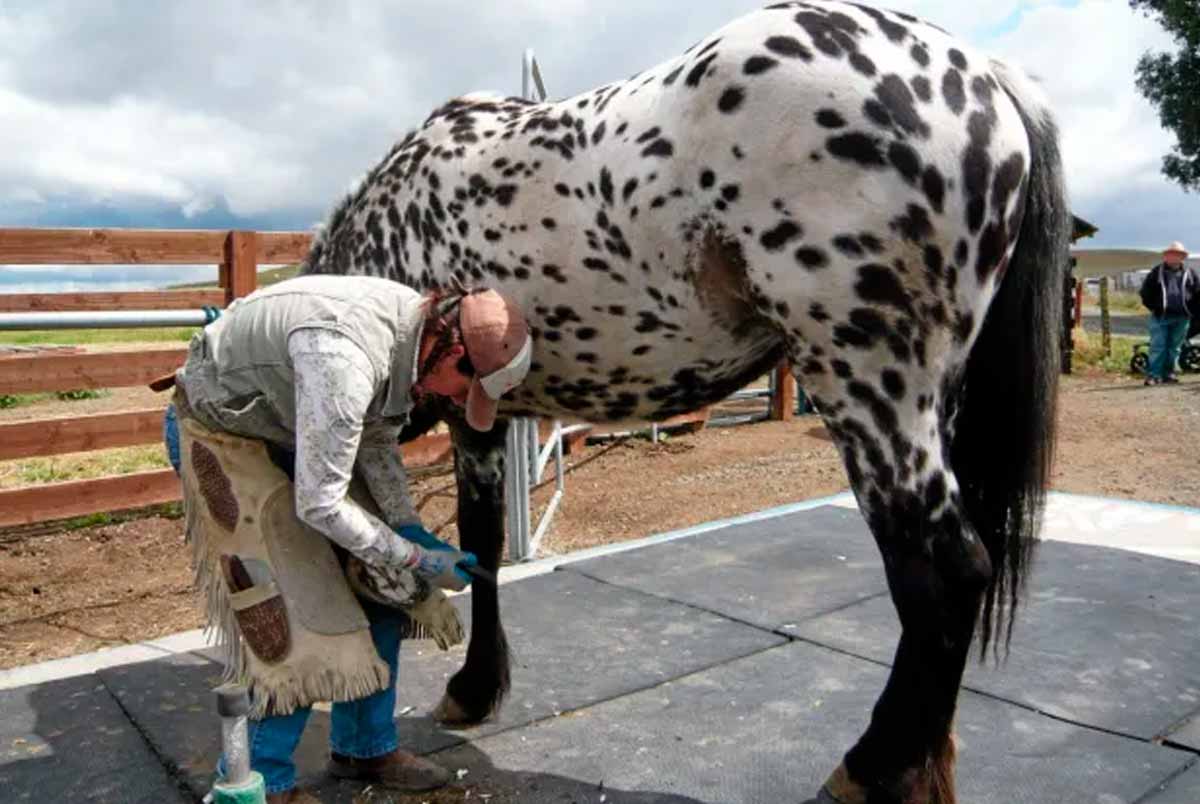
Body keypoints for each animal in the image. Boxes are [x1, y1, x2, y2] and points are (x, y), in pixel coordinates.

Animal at [300, 3, 1070, 801]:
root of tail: (985, 77)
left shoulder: (464, 418)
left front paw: (469, 688)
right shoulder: (483, 423)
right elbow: (483, 545)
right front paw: (479, 688)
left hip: (870, 389)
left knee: (945, 571)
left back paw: (870, 767)